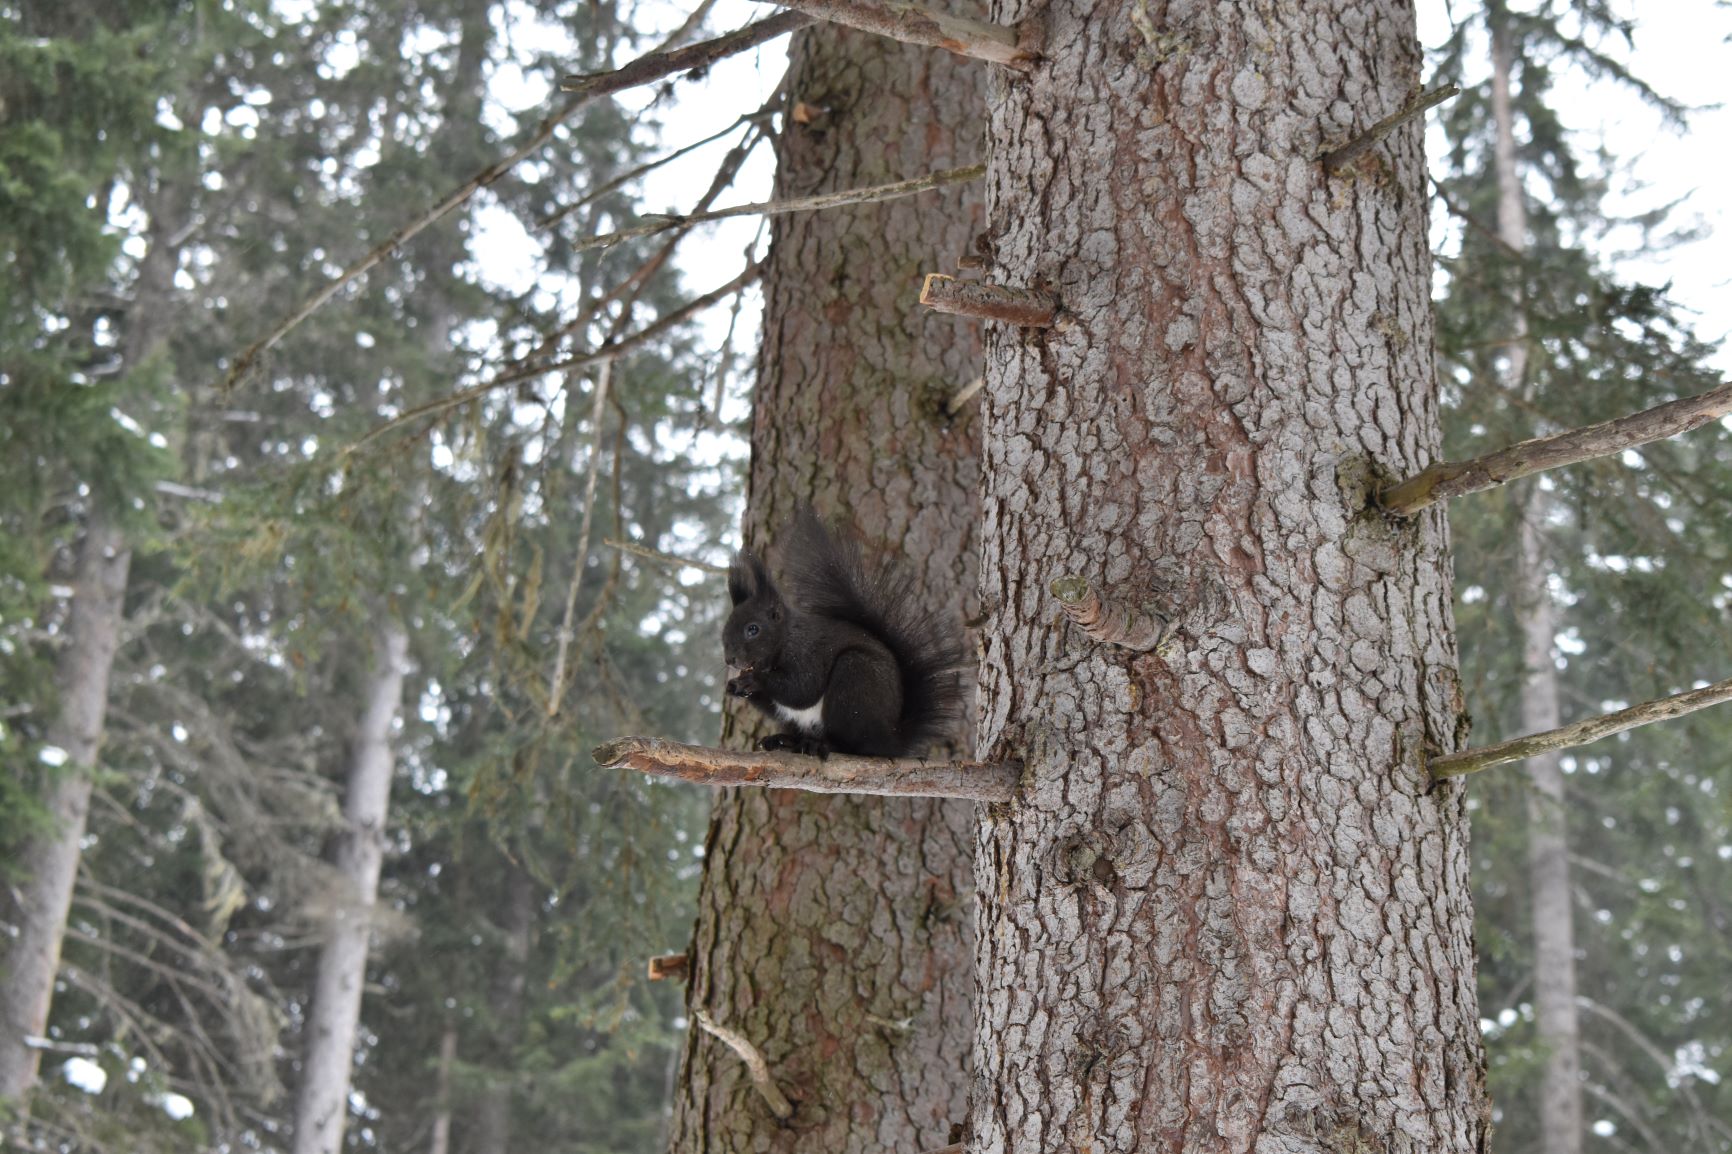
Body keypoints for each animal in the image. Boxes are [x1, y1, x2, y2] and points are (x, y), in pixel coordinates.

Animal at [717, 509, 962, 758]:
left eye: (753, 629)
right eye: (725, 630)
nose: (730, 660)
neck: (784, 638)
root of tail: (892, 741)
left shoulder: (808, 653)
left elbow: (801, 689)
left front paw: (754, 680)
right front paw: (734, 687)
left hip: (855, 681)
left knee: (855, 745)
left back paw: (824, 745)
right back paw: (785, 741)